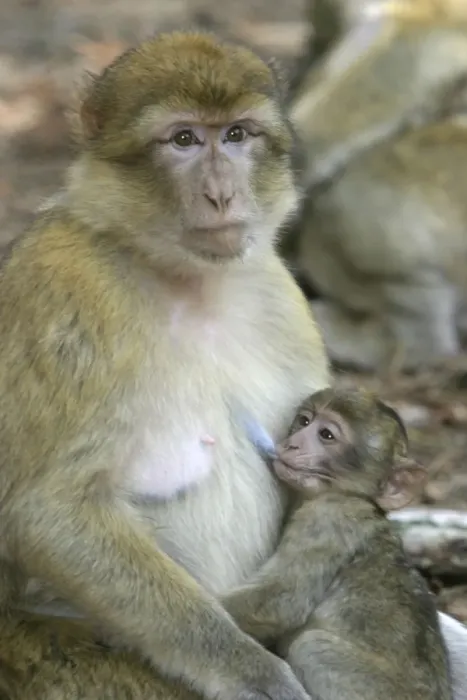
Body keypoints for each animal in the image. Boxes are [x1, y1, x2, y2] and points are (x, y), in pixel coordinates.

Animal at [222, 387, 452, 700]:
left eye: (327, 435)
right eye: (304, 421)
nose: (292, 444)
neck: (349, 495)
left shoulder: (328, 519)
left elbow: (282, 602)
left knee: (311, 648)